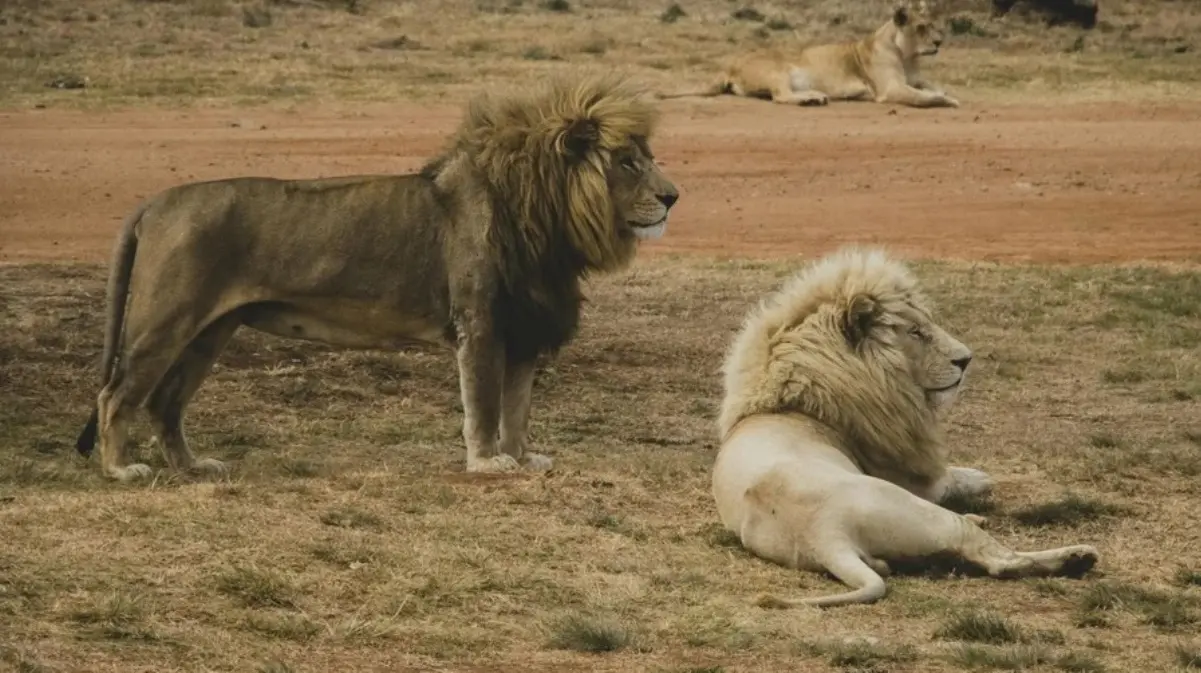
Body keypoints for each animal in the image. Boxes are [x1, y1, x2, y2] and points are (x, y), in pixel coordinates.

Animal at [73, 72, 680, 482]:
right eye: (627, 162)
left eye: (646, 157)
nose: (674, 197)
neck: (547, 221)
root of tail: (154, 202)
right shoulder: (480, 323)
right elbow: (484, 405)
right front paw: (487, 463)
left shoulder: (524, 327)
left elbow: (518, 408)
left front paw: (523, 457)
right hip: (166, 320)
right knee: (116, 395)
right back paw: (119, 471)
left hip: (210, 332)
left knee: (165, 404)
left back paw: (194, 466)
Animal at [659, 1, 959, 109]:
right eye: (921, 27)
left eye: (933, 24)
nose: (939, 42)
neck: (907, 55)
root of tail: (730, 64)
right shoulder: (890, 89)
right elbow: (923, 96)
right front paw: (947, 99)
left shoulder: (915, 78)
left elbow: (931, 85)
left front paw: (946, 92)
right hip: (778, 70)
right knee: (781, 96)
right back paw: (811, 99)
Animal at [711, 247, 1099, 608]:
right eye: (916, 332)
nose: (966, 360)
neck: (798, 405)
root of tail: (824, 535)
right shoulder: (908, 475)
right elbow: (953, 478)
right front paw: (980, 477)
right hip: (917, 510)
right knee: (999, 560)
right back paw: (1075, 557)